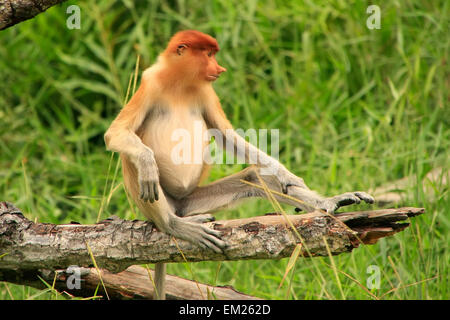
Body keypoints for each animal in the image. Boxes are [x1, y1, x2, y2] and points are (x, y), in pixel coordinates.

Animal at [103, 28, 374, 298]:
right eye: (208, 54)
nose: (220, 68)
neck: (180, 83)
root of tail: (178, 206)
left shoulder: (206, 92)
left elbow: (229, 138)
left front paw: (287, 175)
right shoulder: (150, 84)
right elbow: (115, 134)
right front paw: (147, 163)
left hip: (193, 201)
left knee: (255, 177)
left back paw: (328, 203)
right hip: (163, 199)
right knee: (134, 159)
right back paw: (171, 223)